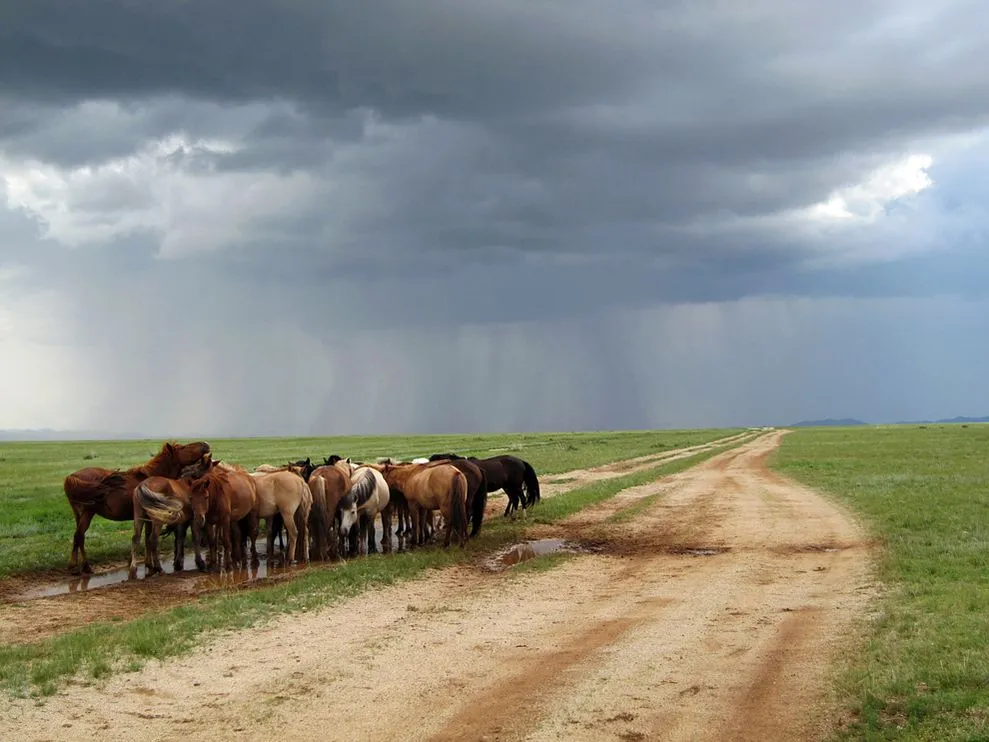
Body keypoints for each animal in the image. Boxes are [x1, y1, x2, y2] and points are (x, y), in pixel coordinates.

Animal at [61, 442, 212, 576]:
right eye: (183, 447)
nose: (205, 444)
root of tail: (71, 477)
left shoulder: (144, 518)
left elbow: (144, 538)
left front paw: (144, 564)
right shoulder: (151, 518)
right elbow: (149, 539)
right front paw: (150, 566)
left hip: (80, 514)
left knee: (79, 537)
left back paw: (79, 566)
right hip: (88, 513)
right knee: (79, 536)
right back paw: (80, 567)